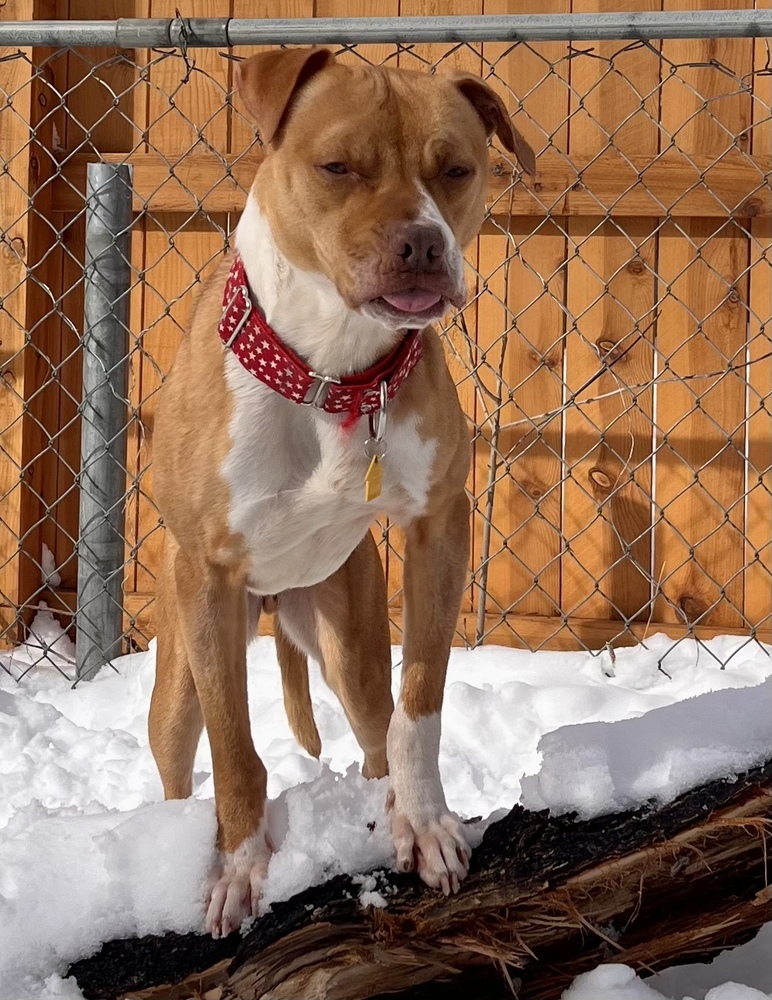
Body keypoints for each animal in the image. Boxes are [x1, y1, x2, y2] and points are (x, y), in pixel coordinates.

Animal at [151, 47, 536, 936]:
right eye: (337, 167)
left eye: (455, 169)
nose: (422, 244)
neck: (332, 369)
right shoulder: (206, 577)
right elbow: (235, 748)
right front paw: (240, 870)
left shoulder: (440, 526)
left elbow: (418, 704)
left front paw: (425, 825)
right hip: (178, 671)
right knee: (181, 756)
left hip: (345, 635)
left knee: (371, 727)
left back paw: (388, 803)